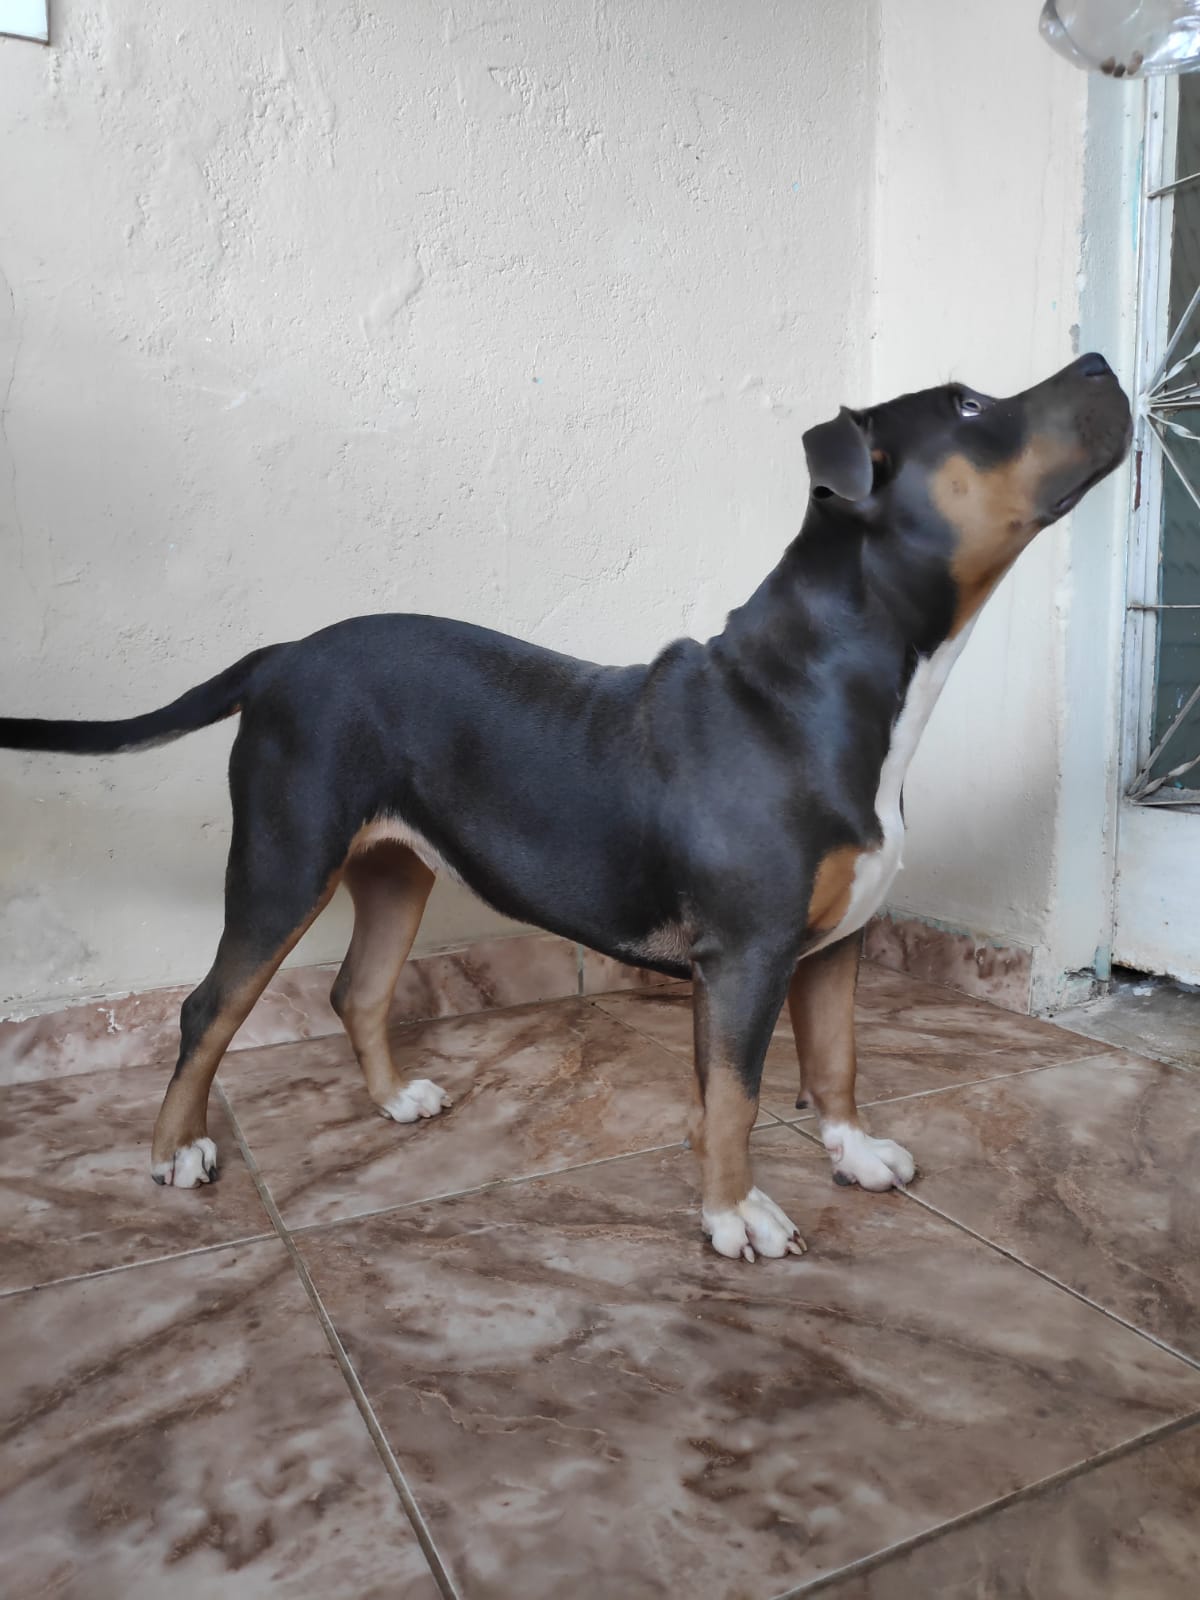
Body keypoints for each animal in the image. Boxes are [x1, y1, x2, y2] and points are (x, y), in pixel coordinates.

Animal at [0, 354, 1131, 1262]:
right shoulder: (749, 954)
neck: (826, 684)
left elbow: (835, 1061)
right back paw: (176, 1150)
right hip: (284, 861)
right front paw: (735, 1214)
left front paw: (850, 1153)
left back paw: (393, 1099)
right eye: (972, 405)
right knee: (208, 1009)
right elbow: (739, 1096)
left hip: (395, 869)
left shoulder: (834, 942)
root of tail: (279, 657)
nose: (1101, 362)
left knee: (358, 991)